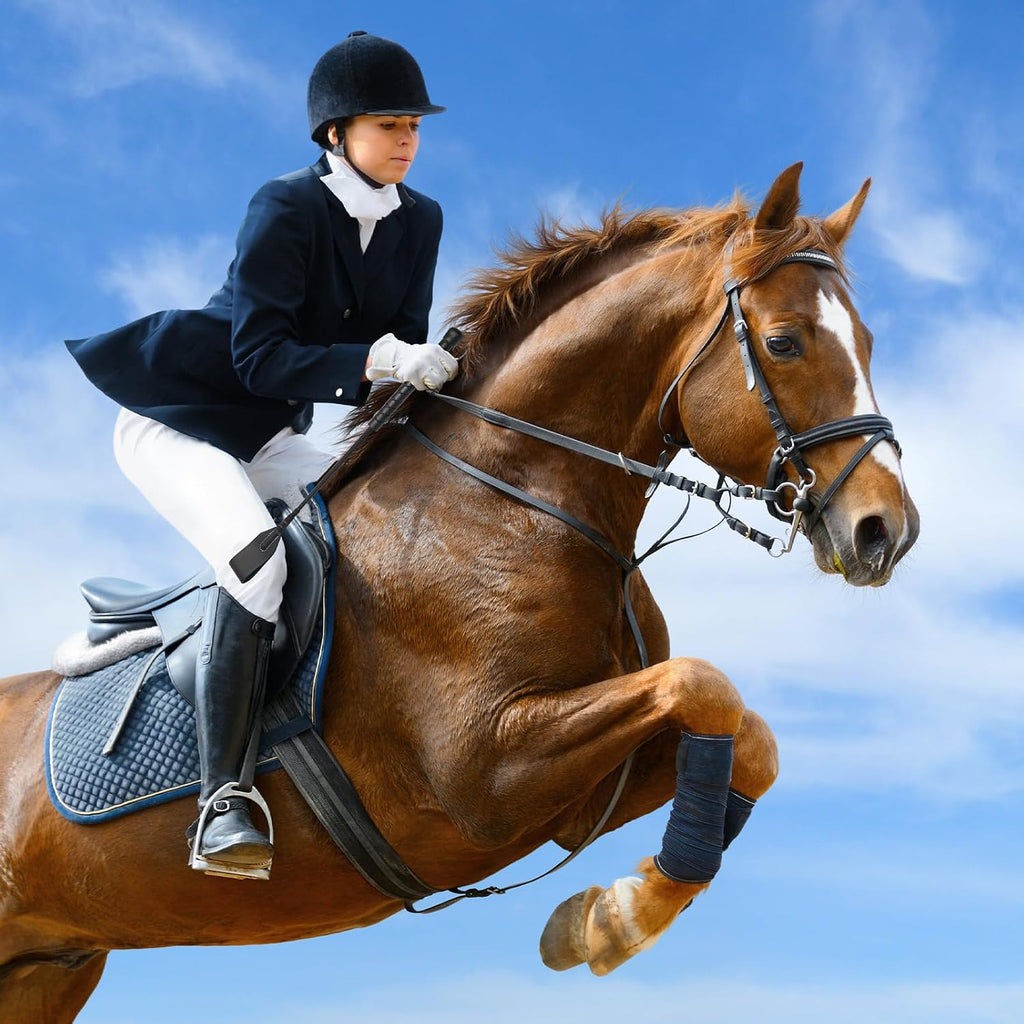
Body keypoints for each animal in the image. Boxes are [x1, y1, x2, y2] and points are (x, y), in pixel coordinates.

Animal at [0, 163, 918, 1021]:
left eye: (868, 341)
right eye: (786, 342)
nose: (887, 532)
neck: (514, 498)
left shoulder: (579, 791)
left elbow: (747, 736)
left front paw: (605, 919)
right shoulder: (486, 773)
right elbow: (705, 685)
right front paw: (618, 921)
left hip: (47, 970)